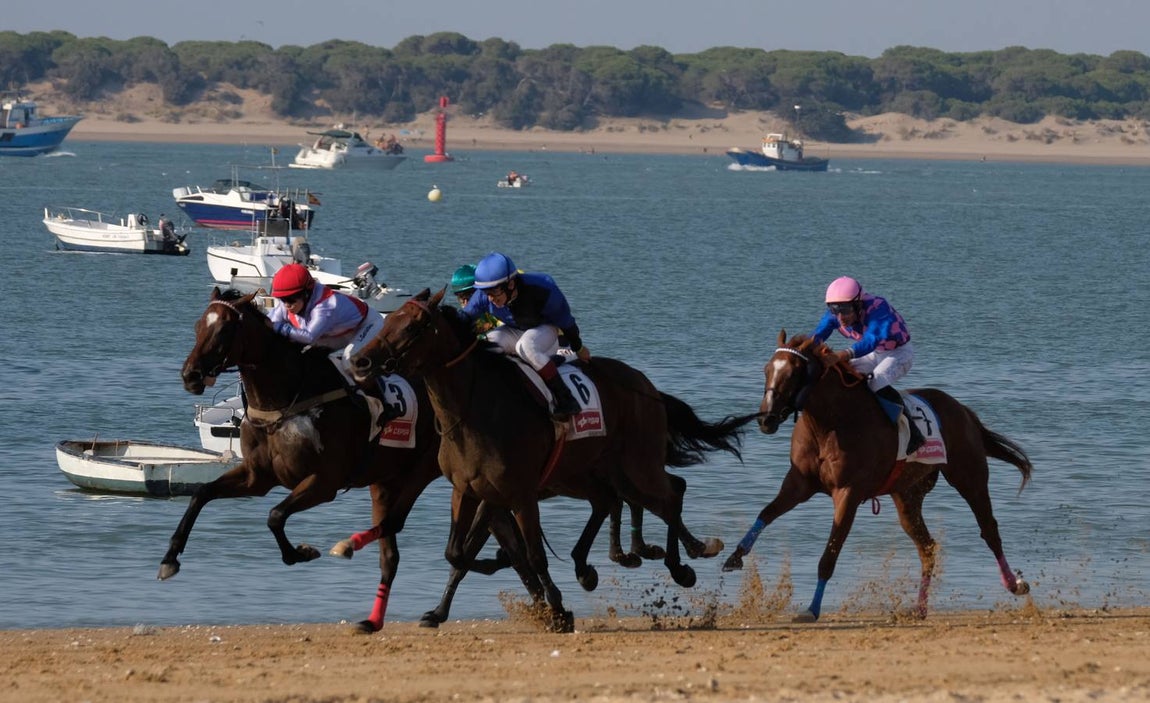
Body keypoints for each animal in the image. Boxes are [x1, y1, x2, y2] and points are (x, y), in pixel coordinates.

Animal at [169, 288, 668, 631]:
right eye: (195, 326)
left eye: (224, 330)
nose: (191, 376)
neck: (290, 396)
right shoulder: (258, 475)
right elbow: (201, 495)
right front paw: (170, 558)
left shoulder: (324, 481)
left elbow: (274, 516)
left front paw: (301, 552)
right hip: (397, 481)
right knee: (406, 546)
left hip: (418, 474)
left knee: (405, 530)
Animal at [350, 288, 747, 632]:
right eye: (388, 320)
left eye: (412, 326)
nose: (359, 360)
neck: (476, 409)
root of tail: (646, 386)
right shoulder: (468, 490)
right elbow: (457, 554)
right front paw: (442, 608)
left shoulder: (520, 494)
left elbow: (532, 555)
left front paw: (556, 609)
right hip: (590, 470)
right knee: (617, 499)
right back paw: (600, 564)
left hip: (637, 462)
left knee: (669, 494)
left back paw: (685, 559)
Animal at [722, 330, 1032, 622]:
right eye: (766, 369)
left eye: (794, 372)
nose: (766, 419)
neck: (832, 422)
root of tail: (964, 411)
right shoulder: (799, 484)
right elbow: (766, 513)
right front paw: (735, 556)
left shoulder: (848, 492)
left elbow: (829, 555)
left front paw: (812, 609)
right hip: (907, 497)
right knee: (927, 547)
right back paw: (920, 608)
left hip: (969, 476)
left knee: (989, 530)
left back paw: (1014, 583)